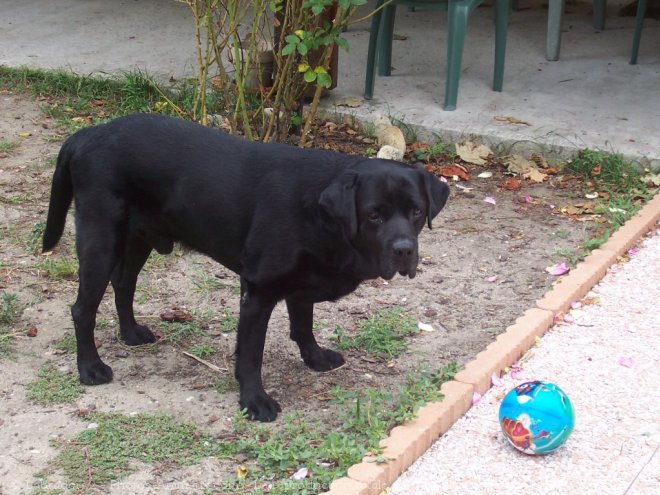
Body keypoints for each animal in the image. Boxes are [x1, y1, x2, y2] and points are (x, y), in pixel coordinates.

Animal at [42, 115, 448, 422]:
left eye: (415, 211)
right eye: (374, 215)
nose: (404, 250)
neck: (320, 215)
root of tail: (87, 134)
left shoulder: (302, 282)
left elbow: (304, 326)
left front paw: (315, 358)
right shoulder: (258, 291)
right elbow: (251, 354)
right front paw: (254, 401)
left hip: (139, 237)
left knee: (124, 284)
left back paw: (130, 333)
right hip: (101, 239)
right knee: (83, 308)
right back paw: (90, 367)